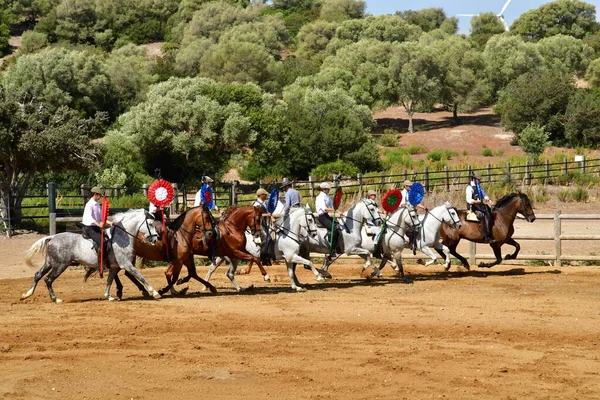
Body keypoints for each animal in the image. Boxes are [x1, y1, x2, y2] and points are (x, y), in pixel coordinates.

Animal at [22, 209, 158, 304]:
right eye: (150, 224)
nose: (156, 239)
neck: (122, 237)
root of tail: (52, 237)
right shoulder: (127, 264)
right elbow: (140, 276)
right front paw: (154, 292)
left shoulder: (115, 267)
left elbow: (109, 281)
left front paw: (108, 296)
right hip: (60, 265)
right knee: (48, 279)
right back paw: (55, 299)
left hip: (50, 263)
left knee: (38, 275)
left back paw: (27, 294)